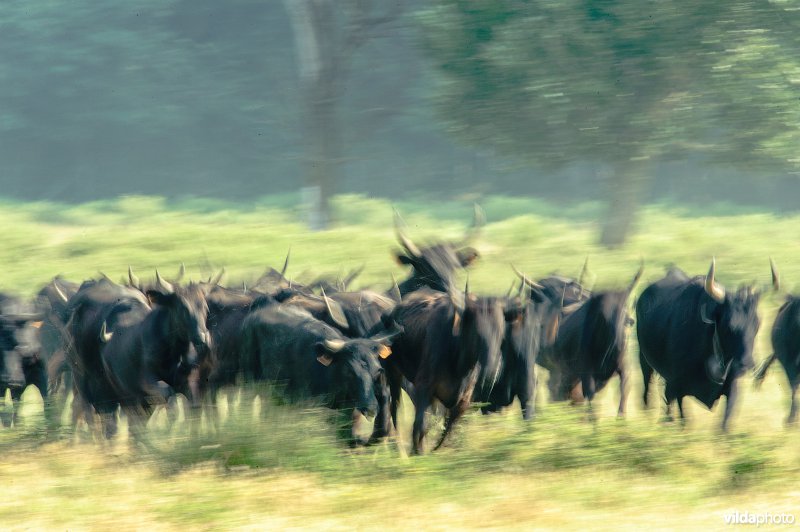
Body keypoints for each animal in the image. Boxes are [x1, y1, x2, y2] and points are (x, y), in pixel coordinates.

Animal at [382, 286, 506, 454]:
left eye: (501, 332)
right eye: (477, 332)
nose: (492, 370)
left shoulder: (463, 399)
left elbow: (448, 427)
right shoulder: (424, 387)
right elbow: (421, 424)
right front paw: (417, 452)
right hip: (394, 374)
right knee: (395, 408)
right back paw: (399, 447)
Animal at [636, 260, 776, 430]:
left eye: (757, 323)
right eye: (729, 325)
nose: (747, 364)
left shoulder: (732, 387)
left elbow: (725, 422)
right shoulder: (676, 385)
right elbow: (684, 418)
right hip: (644, 361)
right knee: (648, 390)